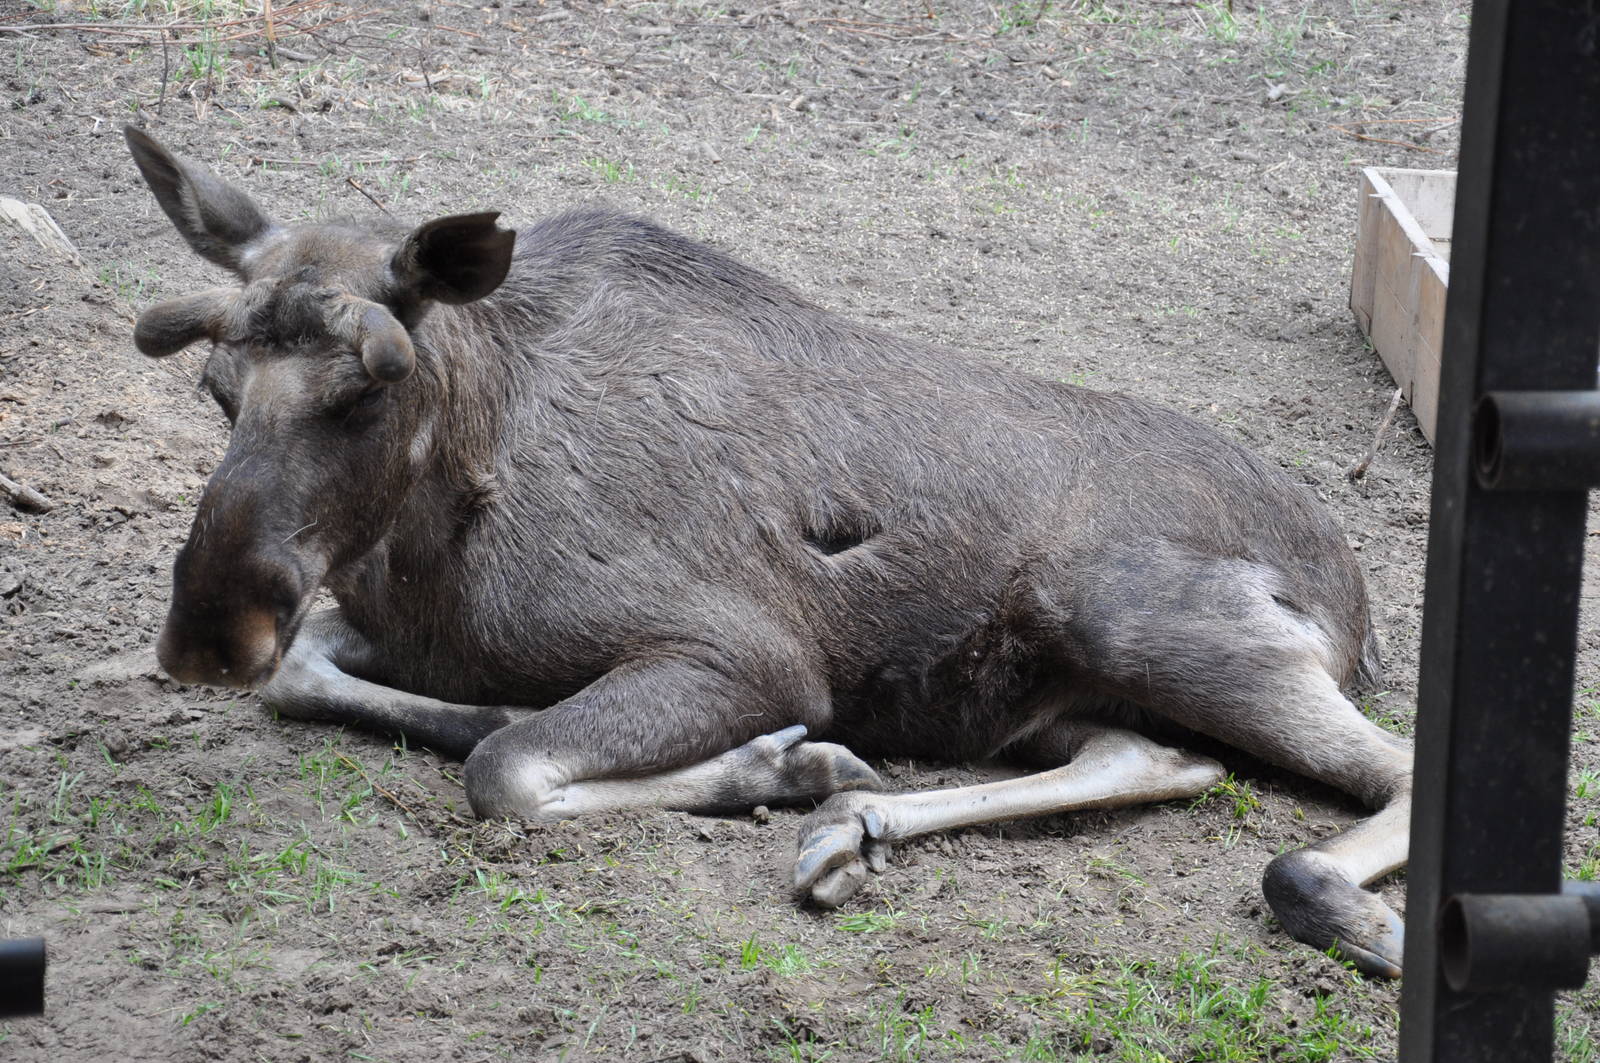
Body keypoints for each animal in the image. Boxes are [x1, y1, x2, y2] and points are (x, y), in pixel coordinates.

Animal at [123, 125, 1412, 976]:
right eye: (215, 386)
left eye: (366, 391)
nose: (208, 635)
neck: (438, 533)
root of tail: (1354, 595)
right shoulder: (378, 630)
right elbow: (318, 681)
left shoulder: (746, 654)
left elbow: (508, 771)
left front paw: (771, 763)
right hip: (1043, 695)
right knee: (1156, 756)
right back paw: (853, 825)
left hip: (1148, 622)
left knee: (1379, 776)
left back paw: (1345, 908)